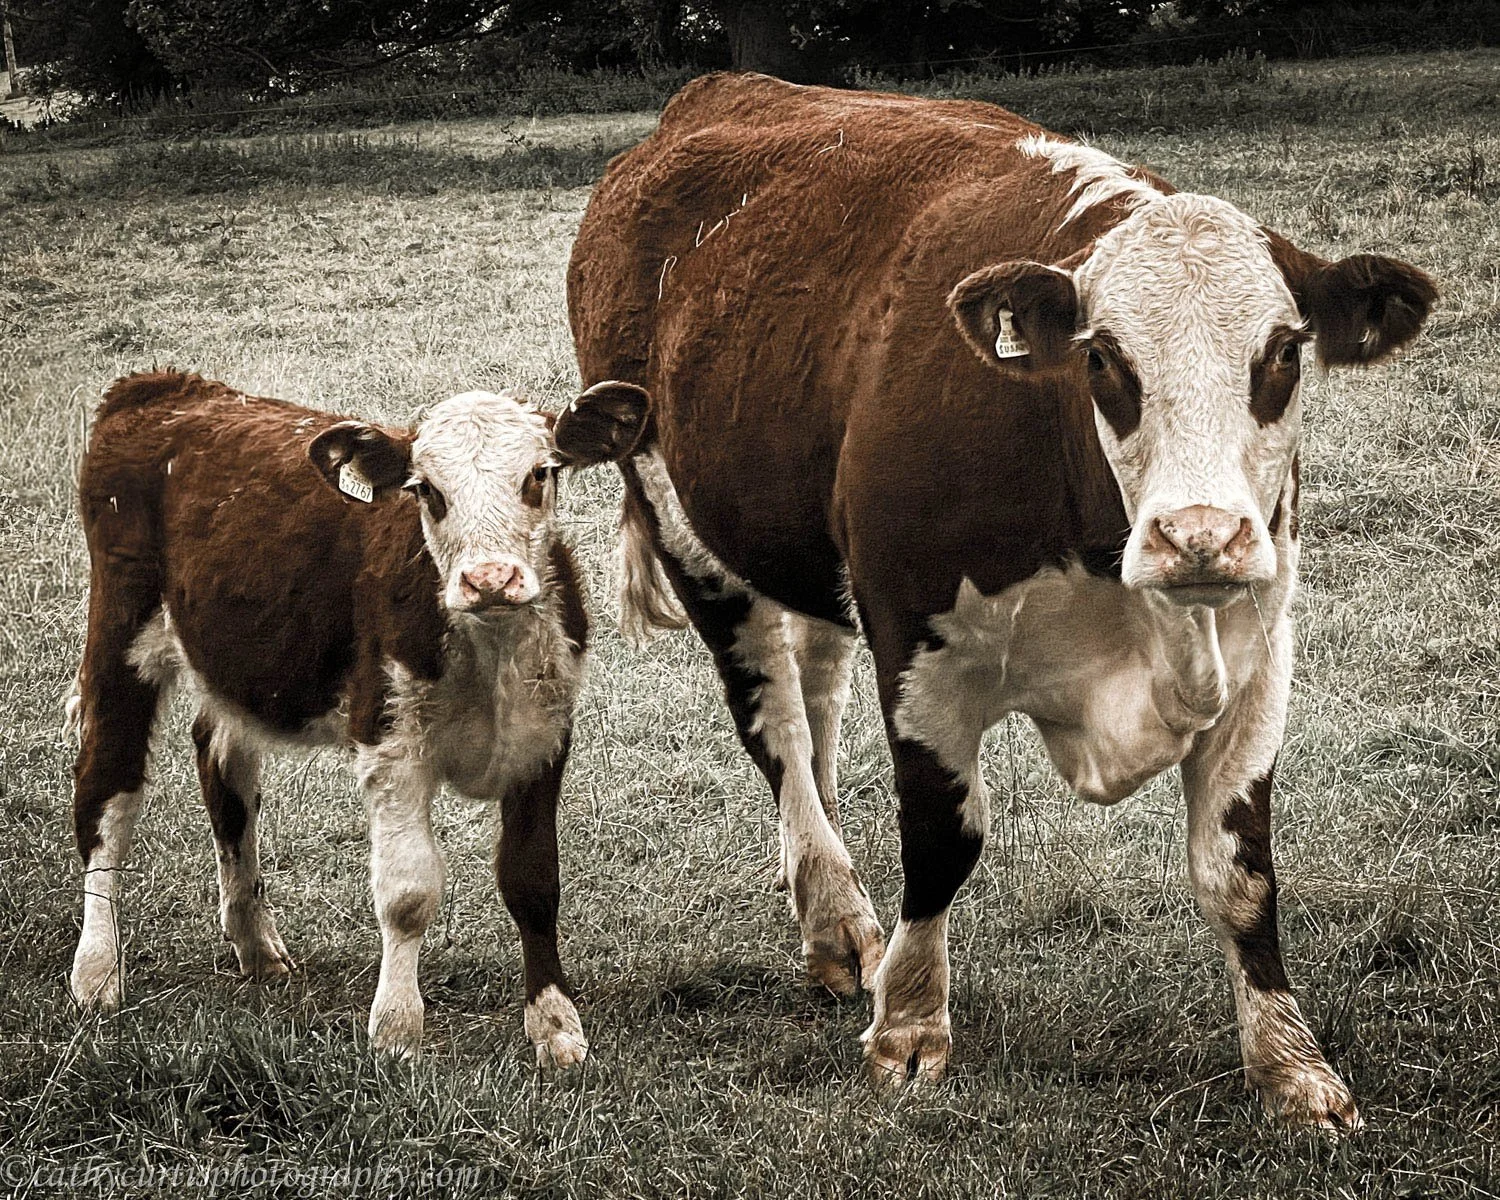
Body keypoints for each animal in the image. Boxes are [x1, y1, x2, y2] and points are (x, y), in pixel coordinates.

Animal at [65, 370, 648, 1066]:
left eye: (539, 473)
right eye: (426, 490)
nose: (489, 579)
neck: (491, 650)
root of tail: (163, 386)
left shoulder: (544, 736)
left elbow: (533, 881)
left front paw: (555, 1025)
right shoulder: (390, 742)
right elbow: (408, 893)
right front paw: (397, 1029)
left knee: (222, 765)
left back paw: (255, 944)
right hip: (121, 632)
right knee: (107, 790)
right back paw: (97, 972)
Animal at [567, 73, 1436, 1125]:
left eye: (1284, 352)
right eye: (1103, 358)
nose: (1198, 535)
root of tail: (713, 95)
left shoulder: (1259, 655)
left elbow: (1242, 876)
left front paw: (1292, 1067)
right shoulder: (916, 641)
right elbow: (943, 839)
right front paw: (908, 1028)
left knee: (815, 696)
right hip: (682, 523)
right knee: (769, 716)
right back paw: (834, 912)